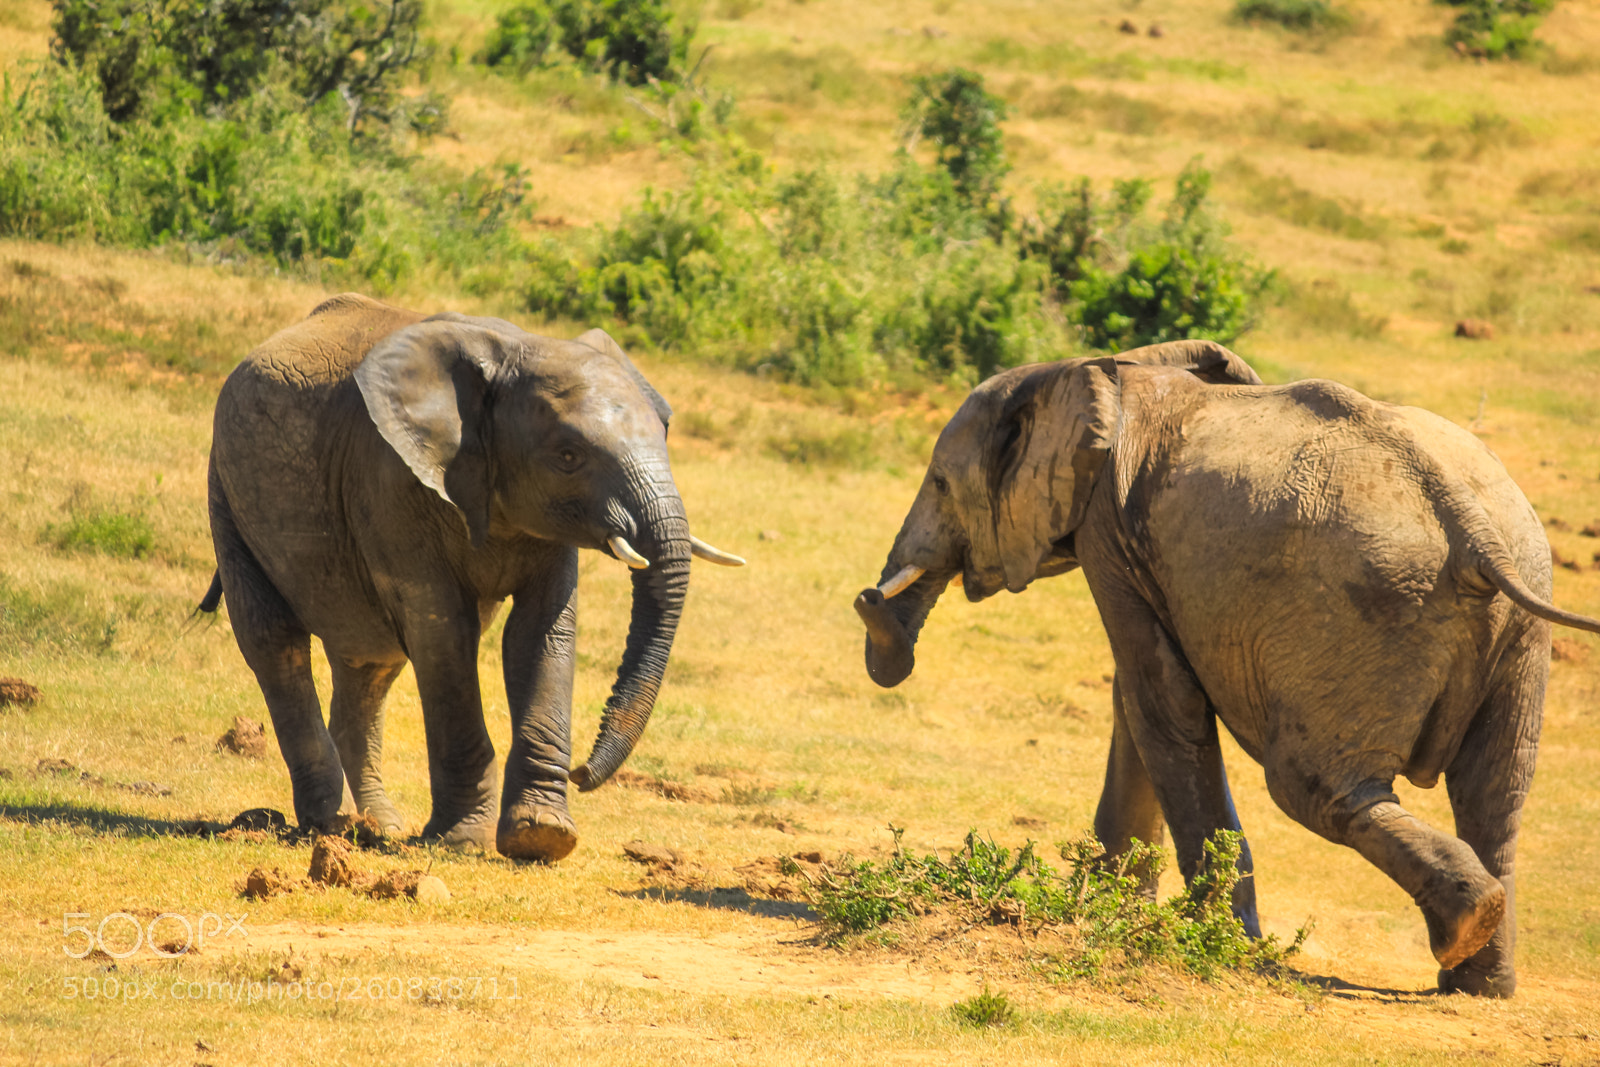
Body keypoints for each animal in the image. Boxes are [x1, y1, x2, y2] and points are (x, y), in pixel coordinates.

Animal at [199, 293, 743, 862]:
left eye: (666, 431)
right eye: (568, 456)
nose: (583, 772)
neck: (515, 350)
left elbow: (540, 632)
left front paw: (542, 836)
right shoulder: (389, 478)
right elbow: (443, 632)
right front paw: (462, 842)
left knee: (370, 663)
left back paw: (377, 827)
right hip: (227, 491)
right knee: (275, 641)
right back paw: (330, 822)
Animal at [854, 339, 1600, 997]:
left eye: (940, 483)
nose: (868, 599)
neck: (1107, 369)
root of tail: (1471, 525)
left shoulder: (1108, 531)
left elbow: (1160, 700)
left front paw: (1206, 940)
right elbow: (1139, 696)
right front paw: (1117, 909)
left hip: (1367, 608)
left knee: (1315, 787)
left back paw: (1465, 929)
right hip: (1518, 620)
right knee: (1494, 797)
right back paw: (1478, 977)